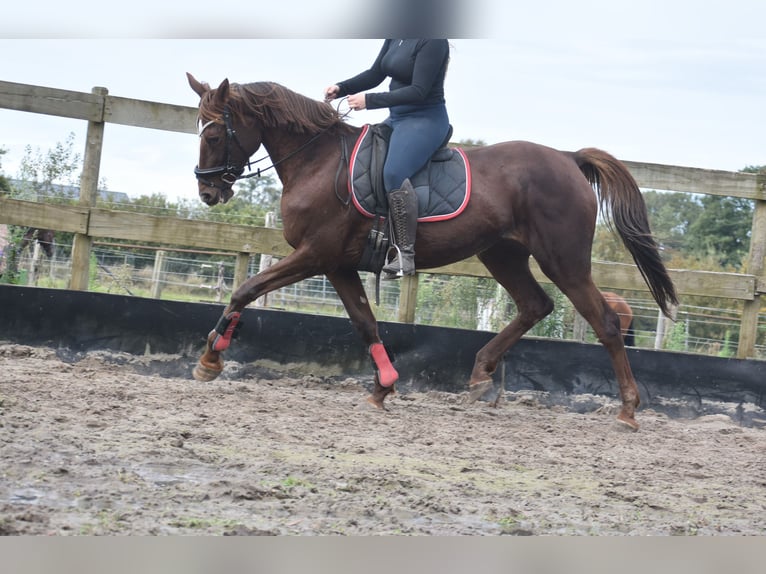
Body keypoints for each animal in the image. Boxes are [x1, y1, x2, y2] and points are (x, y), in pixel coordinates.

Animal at [186, 73, 680, 432]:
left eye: (214, 133)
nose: (208, 192)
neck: (318, 162)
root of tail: (567, 158)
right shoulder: (338, 264)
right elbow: (365, 323)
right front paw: (383, 387)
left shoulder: (315, 254)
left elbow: (246, 290)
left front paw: (211, 358)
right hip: (502, 254)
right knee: (535, 305)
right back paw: (481, 375)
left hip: (564, 260)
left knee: (606, 322)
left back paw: (628, 410)